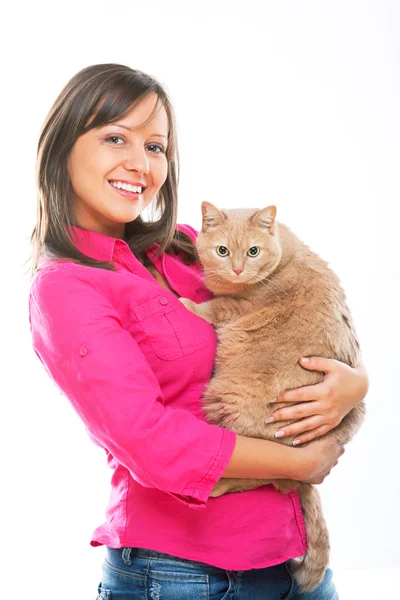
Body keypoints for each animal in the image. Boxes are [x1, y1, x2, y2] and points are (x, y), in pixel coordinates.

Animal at [180, 200, 366, 592]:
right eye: (223, 251)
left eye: (253, 251)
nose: (237, 268)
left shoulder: (235, 308)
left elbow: (213, 306)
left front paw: (188, 305)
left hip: (231, 403)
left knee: (267, 473)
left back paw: (220, 484)